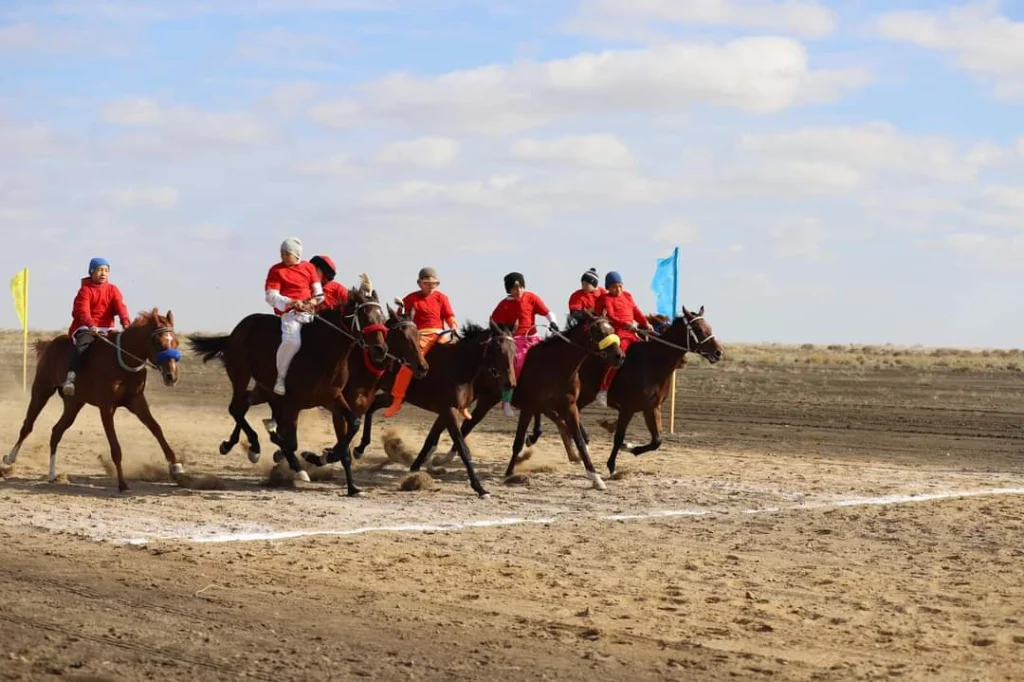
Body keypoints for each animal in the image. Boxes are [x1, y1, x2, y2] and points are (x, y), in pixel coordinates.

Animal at [1, 307, 184, 489]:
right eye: (158, 342)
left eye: (176, 342)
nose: (172, 376)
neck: (122, 360)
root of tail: (49, 344)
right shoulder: (106, 406)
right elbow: (115, 447)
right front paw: (122, 483)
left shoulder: (136, 401)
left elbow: (156, 428)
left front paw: (176, 465)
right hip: (41, 390)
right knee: (27, 426)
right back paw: (10, 460)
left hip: (74, 404)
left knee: (56, 431)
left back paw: (52, 474)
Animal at [188, 274, 387, 489]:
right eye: (365, 315)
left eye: (382, 318)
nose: (380, 350)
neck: (322, 354)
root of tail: (235, 332)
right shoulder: (293, 403)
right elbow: (290, 442)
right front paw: (298, 464)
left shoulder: (332, 398)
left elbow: (354, 424)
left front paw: (343, 474)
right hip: (241, 374)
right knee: (236, 408)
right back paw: (254, 446)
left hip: (264, 388)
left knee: (244, 404)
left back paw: (237, 445)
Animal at [350, 321, 516, 497]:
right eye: (498, 348)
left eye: (514, 350)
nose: (510, 383)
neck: (459, 365)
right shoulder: (449, 410)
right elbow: (463, 448)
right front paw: (479, 487)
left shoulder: (445, 412)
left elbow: (430, 438)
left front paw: (415, 468)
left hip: (392, 396)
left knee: (372, 406)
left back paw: (360, 448)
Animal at [528, 303, 720, 473]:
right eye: (699, 329)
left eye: (710, 327)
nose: (718, 352)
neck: (652, 363)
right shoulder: (628, 408)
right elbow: (619, 437)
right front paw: (612, 465)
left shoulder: (651, 407)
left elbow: (656, 441)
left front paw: (631, 448)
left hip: (582, 395)